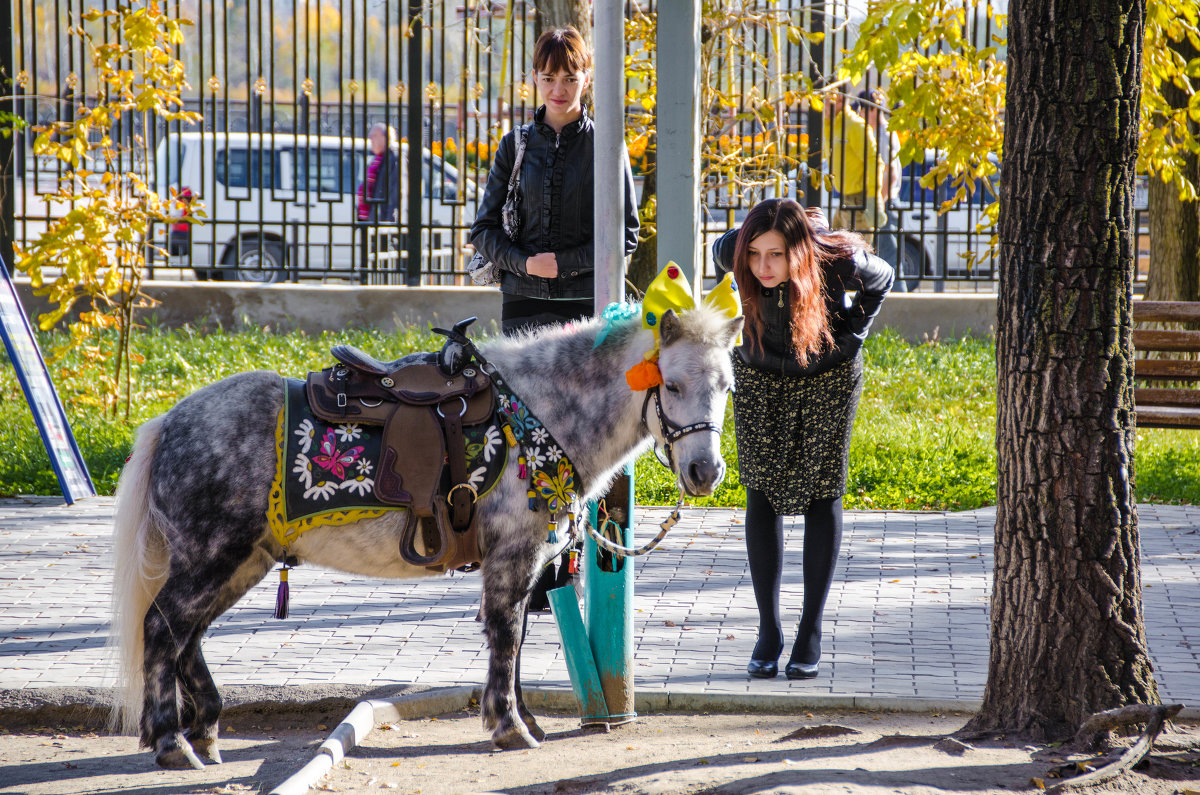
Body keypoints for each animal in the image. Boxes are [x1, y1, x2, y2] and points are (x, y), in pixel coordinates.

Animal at [108, 306, 739, 773]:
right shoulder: (513, 557)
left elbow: (514, 640)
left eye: (728, 386)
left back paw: (206, 732)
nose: (706, 472)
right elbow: (508, 636)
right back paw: (173, 743)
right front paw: (510, 727)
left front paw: (522, 720)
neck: (536, 414)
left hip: (241, 563)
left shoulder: (523, 562)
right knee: (162, 629)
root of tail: (167, 424)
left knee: (187, 636)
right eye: (672, 384)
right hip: (211, 560)